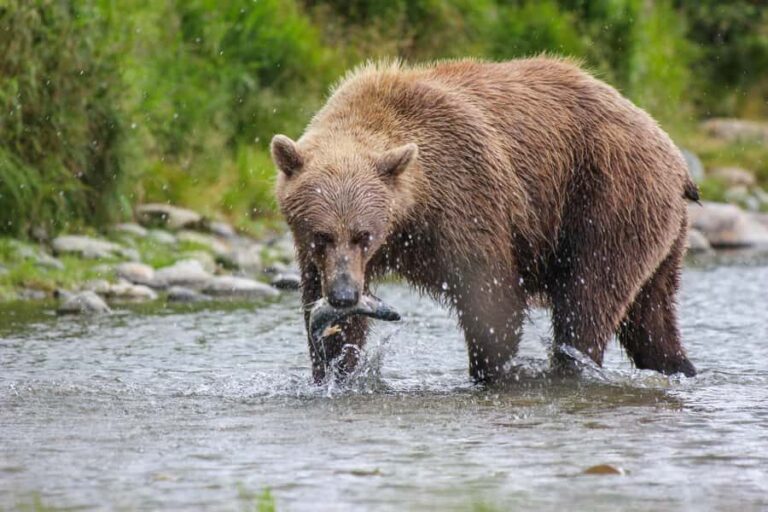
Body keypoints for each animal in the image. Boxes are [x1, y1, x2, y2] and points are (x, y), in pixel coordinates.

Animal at [271, 57, 698, 384]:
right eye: (322, 236)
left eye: (364, 234)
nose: (344, 295)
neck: (412, 211)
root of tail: (672, 151)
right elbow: (332, 320)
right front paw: (335, 369)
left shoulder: (467, 200)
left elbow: (492, 298)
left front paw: (491, 372)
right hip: (658, 230)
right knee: (651, 316)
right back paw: (678, 366)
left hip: (607, 198)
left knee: (588, 298)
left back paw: (570, 367)